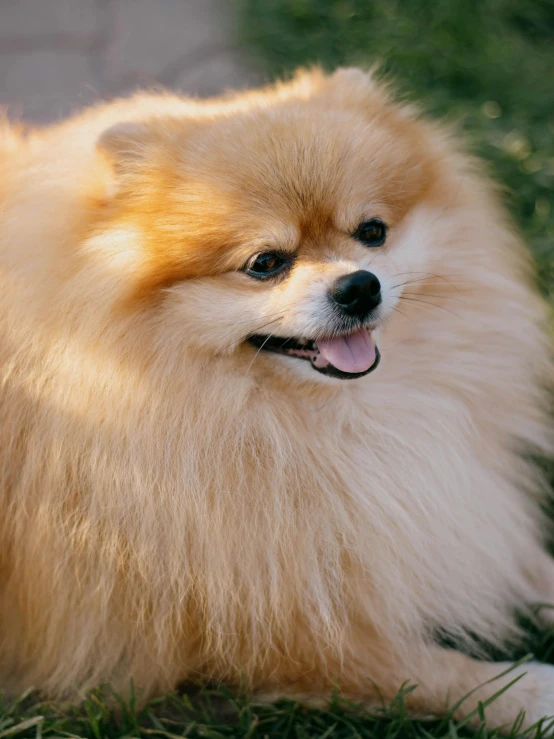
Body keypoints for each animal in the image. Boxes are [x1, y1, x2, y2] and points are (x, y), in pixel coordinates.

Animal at [1, 68, 552, 728]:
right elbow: (427, 672)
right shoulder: (256, 623)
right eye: (265, 263)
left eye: (372, 232)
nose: (359, 286)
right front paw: (530, 695)